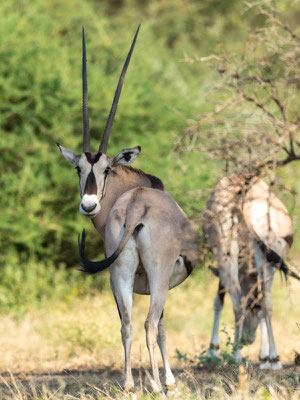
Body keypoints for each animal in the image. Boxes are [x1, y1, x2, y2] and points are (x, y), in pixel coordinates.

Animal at [55, 27, 199, 390]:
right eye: (79, 169)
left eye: (105, 169)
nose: (89, 204)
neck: (133, 190)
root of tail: (136, 207)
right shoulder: (162, 282)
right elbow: (162, 329)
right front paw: (169, 380)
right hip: (158, 273)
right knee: (148, 324)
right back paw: (157, 385)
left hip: (118, 273)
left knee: (127, 325)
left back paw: (130, 384)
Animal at [202, 174, 300, 368]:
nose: (248, 339)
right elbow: (260, 304)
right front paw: (264, 357)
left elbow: (219, 301)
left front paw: (212, 352)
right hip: (264, 261)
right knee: (266, 304)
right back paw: (274, 359)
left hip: (228, 255)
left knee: (238, 302)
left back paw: (236, 356)